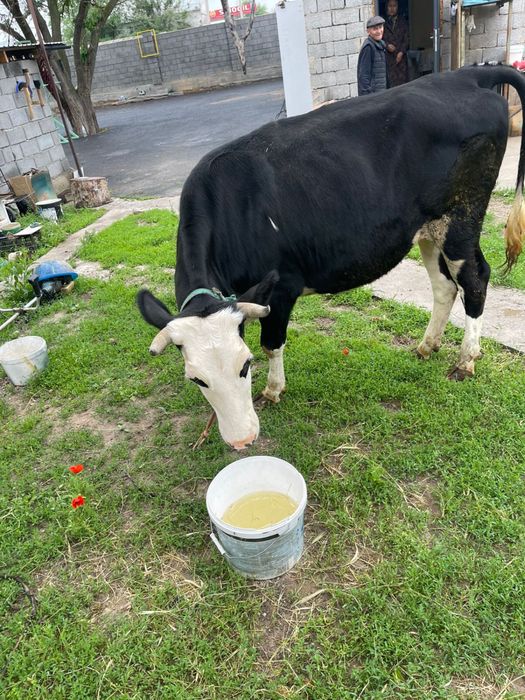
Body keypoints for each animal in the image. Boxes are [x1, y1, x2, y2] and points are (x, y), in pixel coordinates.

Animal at [138, 64, 525, 450]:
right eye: (196, 379)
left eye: (244, 365)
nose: (242, 440)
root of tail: (465, 75)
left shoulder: (281, 287)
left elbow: (271, 344)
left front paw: (273, 390)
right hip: (428, 229)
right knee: (444, 286)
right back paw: (426, 346)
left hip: (461, 217)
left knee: (475, 278)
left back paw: (466, 360)